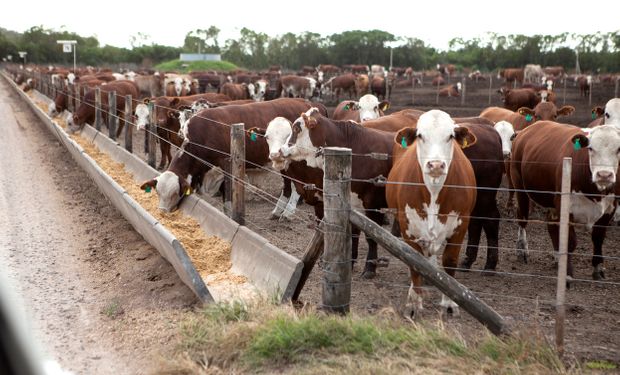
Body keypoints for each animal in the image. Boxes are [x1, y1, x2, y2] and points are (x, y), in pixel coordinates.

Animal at [508, 122, 620, 280]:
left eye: (619, 149)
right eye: (590, 148)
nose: (604, 175)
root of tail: (527, 129)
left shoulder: (610, 208)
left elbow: (598, 237)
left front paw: (598, 269)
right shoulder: (566, 207)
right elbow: (570, 242)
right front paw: (567, 274)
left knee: (551, 225)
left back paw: (557, 258)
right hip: (520, 188)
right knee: (522, 218)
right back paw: (522, 249)